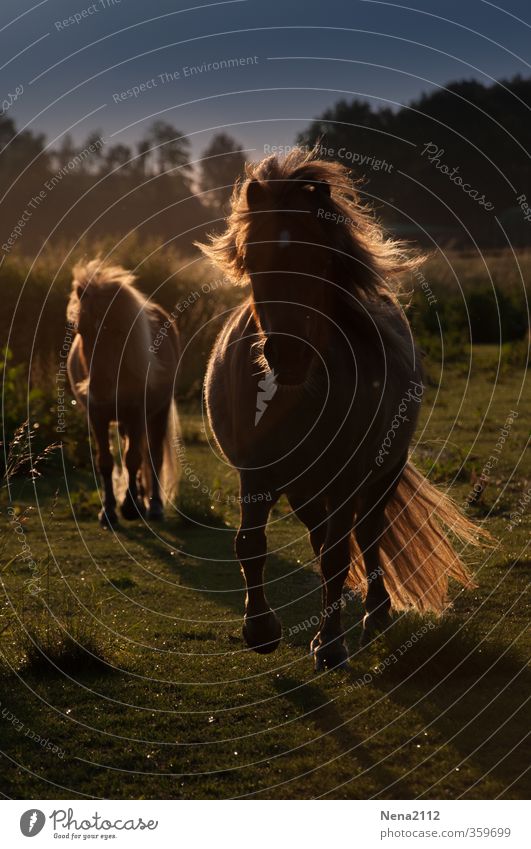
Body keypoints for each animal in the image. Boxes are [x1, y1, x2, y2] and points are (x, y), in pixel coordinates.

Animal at [67, 256, 180, 524]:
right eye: (81, 330)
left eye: (119, 332)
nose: (98, 388)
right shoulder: (97, 416)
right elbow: (106, 462)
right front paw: (108, 510)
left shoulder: (137, 413)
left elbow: (133, 458)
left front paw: (129, 507)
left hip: (157, 412)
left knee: (153, 455)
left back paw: (153, 505)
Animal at [201, 147, 490, 668]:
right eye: (252, 258)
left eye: (320, 257)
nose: (288, 356)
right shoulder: (256, 472)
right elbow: (250, 544)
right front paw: (261, 630)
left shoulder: (347, 476)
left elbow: (339, 556)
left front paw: (331, 645)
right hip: (306, 488)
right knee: (324, 539)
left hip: (380, 474)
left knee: (366, 536)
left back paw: (375, 615)